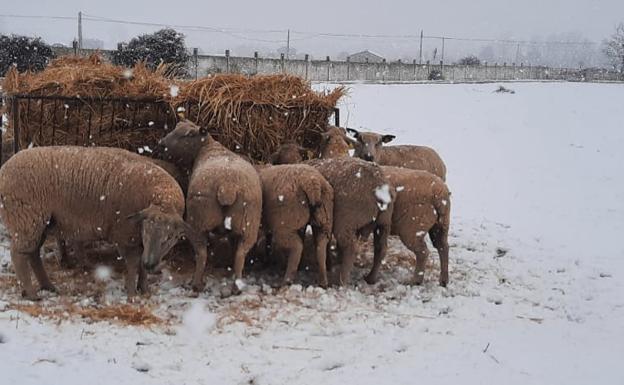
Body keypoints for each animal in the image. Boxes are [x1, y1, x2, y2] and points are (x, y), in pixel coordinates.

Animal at [0, 146, 190, 298]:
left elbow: (141, 267)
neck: (160, 197)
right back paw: (33, 294)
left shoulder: (138, 240)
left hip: (40, 224)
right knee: (18, 255)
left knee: (32, 253)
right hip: (26, 219)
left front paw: (144, 288)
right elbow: (133, 263)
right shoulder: (125, 235)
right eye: (147, 231)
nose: (151, 264)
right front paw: (131, 293)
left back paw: (48, 286)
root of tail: (3, 171)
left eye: (170, 237)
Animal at [158, 120, 264, 292]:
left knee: (201, 253)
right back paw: (236, 285)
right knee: (240, 254)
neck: (209, 148)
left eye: (188, 134)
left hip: (199, 221)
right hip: (248, 226)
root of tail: (227, 186)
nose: (162, 144)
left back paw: (196, 284)